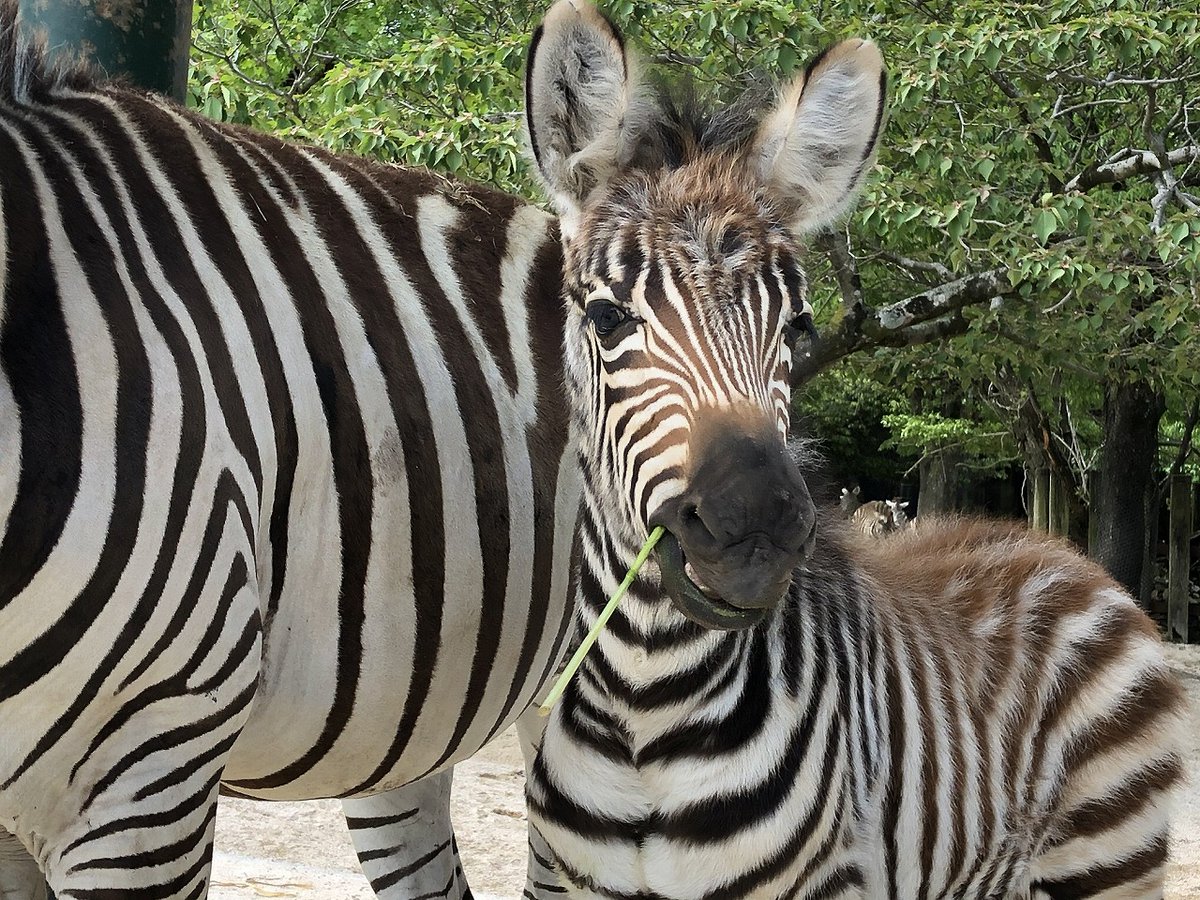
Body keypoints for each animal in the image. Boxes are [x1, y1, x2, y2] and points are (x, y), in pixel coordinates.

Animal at [520, 3, 1185, 897]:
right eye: (605, 317)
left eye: (798, 329)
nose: (757, 535)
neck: (645, 710)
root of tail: (1069, 554)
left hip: (1107, 856)